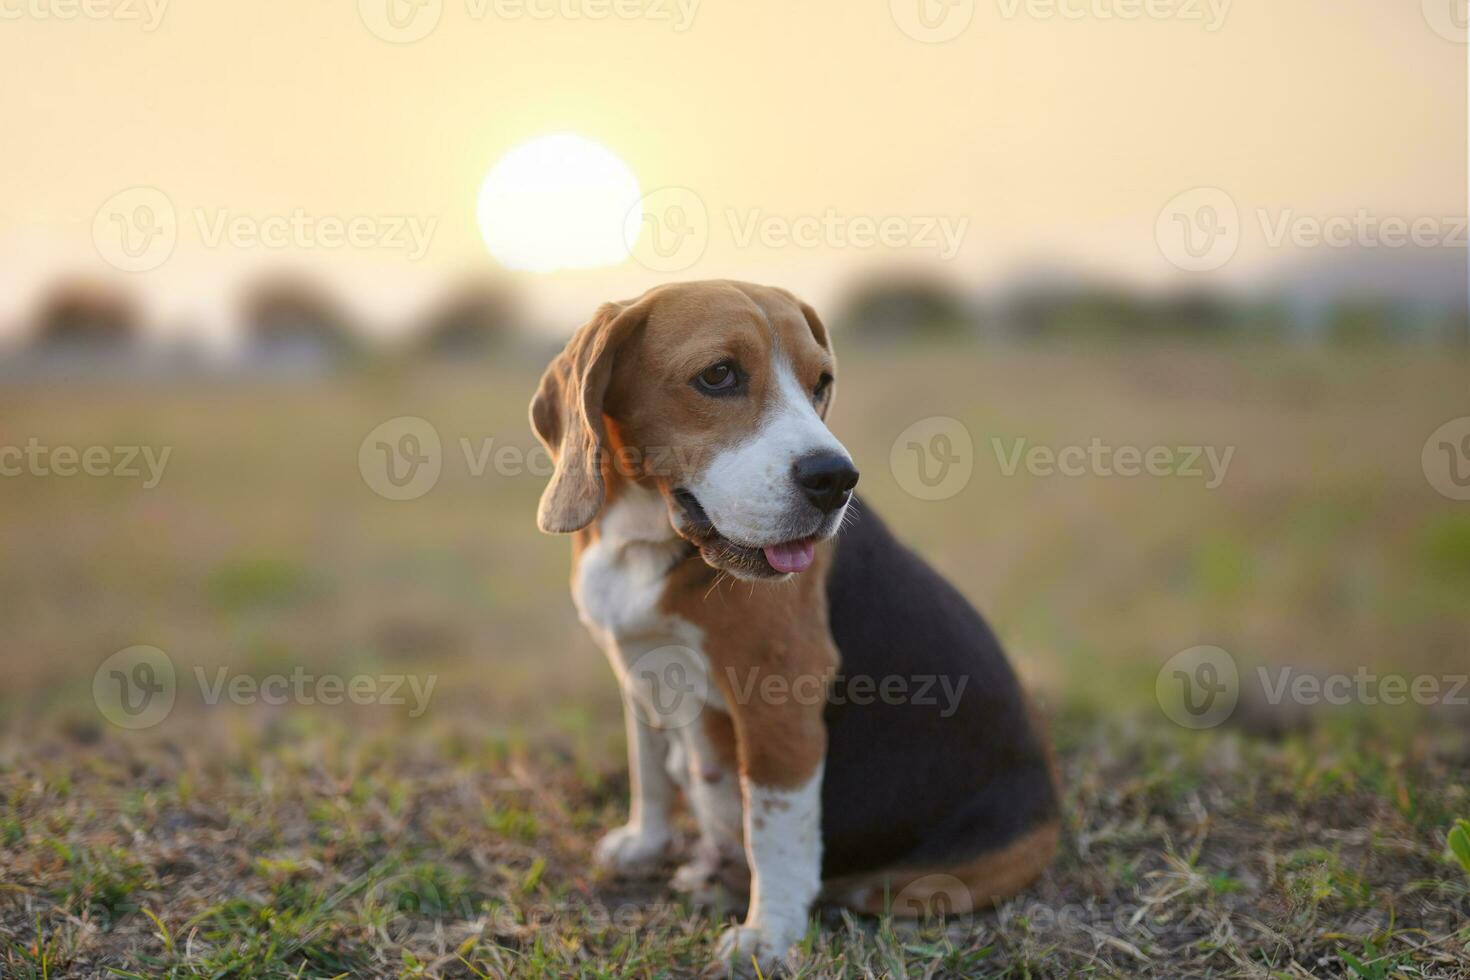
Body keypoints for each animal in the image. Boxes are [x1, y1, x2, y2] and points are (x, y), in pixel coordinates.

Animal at [529, 279, 1058, 975]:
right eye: (718, 375)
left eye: (822, 383)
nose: (835, 480)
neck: (648, 539)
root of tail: (1051, 809)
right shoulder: (635, 670)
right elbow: (650, 771)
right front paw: (644, 844)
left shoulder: (777, 700)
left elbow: (775, 832)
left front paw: (768, 936)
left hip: (918, 882)